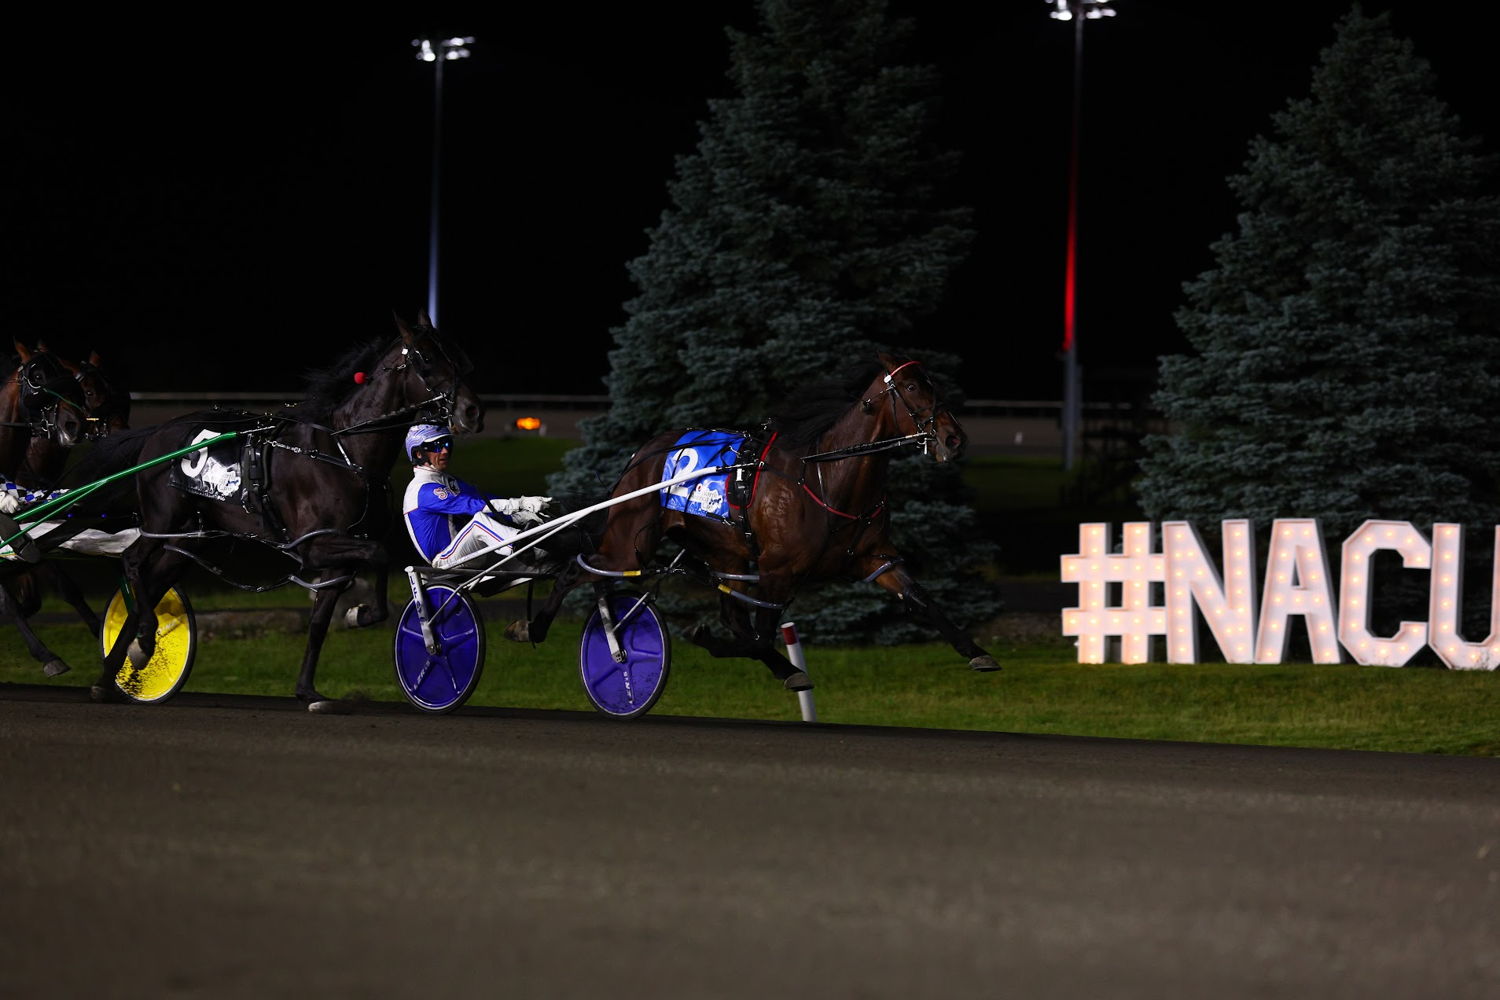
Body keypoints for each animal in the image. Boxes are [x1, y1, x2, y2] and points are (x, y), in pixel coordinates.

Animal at [85, 314, 483, 710]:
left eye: (457, 354)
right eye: (427, 359)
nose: (472, 411)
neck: (344, 453)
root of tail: (159, 431)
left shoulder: (340, 555)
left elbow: (320, 623)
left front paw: (310, 687)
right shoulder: (314, 545)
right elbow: (381, 553)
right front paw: (363, 613)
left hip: (187, 540)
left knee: (152, 586)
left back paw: (113, 675)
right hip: (161, 520)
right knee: (132, 562)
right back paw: (143, 640)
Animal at [510, 352, 1002, 689]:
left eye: (933, 384)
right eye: (913, 389)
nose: (954, 438)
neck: (828, 476)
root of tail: (642, 453)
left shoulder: (873, 558)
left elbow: (921, 600)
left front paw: (977, 651)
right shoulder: (779, 568)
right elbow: (761, 635)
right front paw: (707, 639)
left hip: (725, 551)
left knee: (730, 612)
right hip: (629, 543)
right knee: (575, 569)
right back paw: (533, 626)